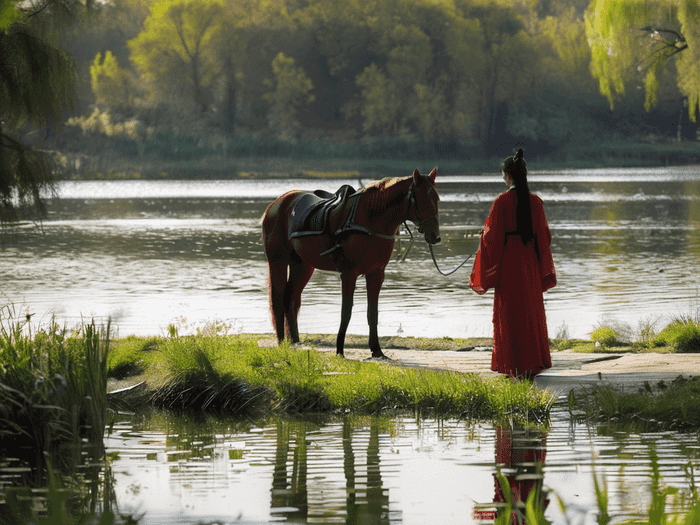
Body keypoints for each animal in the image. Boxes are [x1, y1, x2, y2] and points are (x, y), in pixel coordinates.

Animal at [260, 167, 440, 356]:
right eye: (421, 199)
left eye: (436, 198)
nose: (435, 236)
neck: (370, 218)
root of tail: (276, 204)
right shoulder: (348, 273)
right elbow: (346, 312)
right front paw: (340, 350)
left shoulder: (376, 273)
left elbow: (372, 312)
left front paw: (376, 350)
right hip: (278, 261)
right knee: (278, 298)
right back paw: (281, 342)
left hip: (302, 265)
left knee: (291, 297)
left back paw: (294, 341)